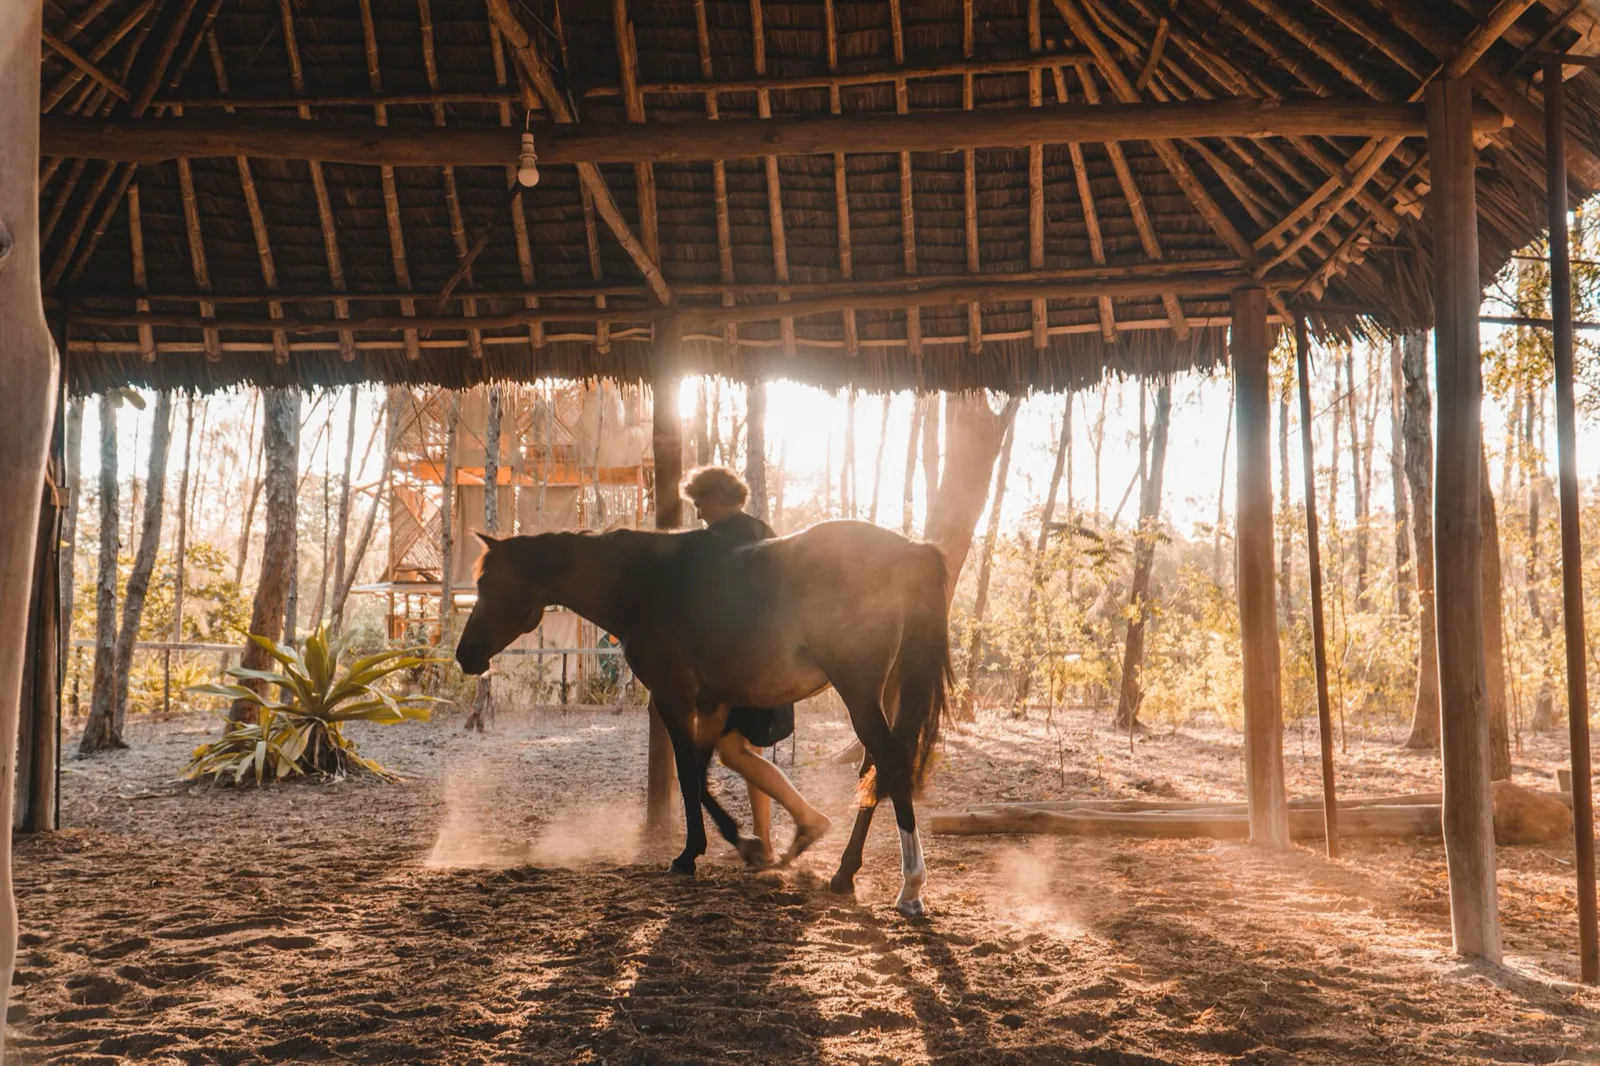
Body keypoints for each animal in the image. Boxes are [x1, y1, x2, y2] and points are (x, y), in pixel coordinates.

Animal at [454, 520, 953, 916]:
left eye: (490, 585)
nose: (465, 655)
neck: (645, 585)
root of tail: (909, 550)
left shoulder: (672, 700)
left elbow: (688, 773)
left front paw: (692, 854)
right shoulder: (713, 704)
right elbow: (701, 768)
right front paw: (747, 844)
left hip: (860, 694)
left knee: (890, 764)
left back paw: (910, 887)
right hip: (880, 694)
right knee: (875, 768)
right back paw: (844, 873)